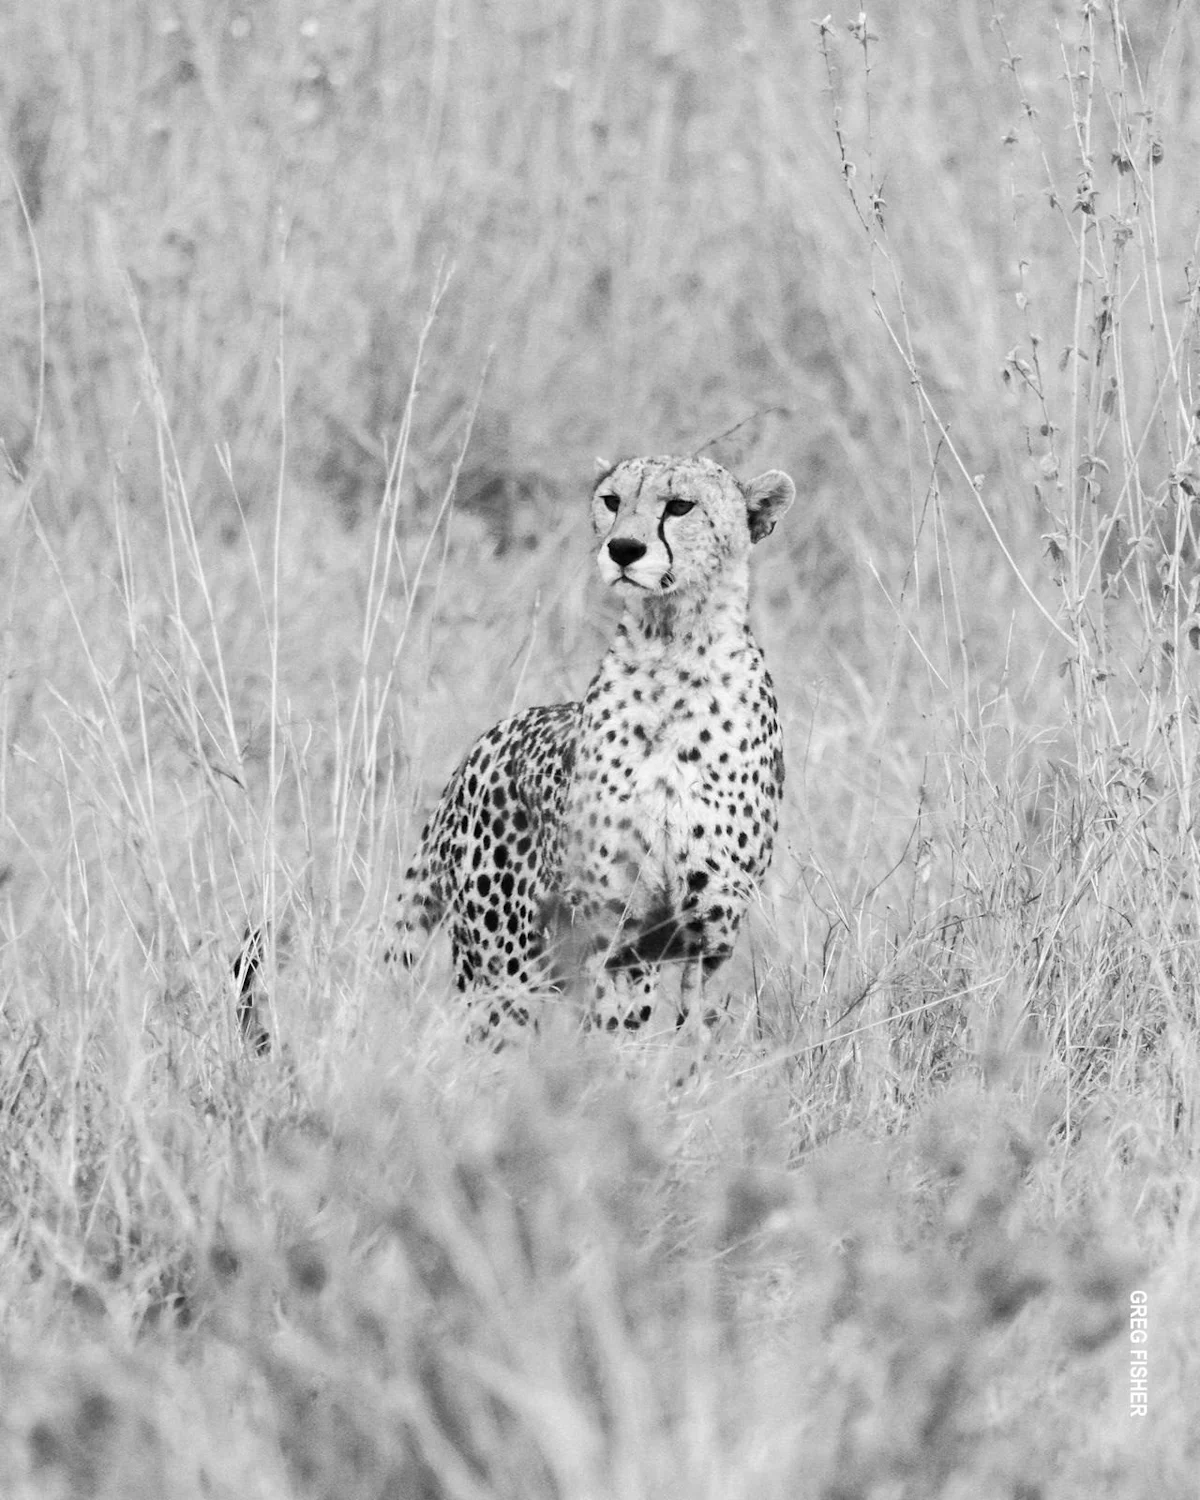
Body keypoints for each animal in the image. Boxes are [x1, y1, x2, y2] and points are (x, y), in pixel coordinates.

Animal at [387, 453, 795, 1037]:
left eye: (680, 506)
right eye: (612, 501)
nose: (623, 548)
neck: (672, 646)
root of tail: (481, 745)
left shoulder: (709, 928)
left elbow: (691, 1026)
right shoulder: (612, 923)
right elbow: (618, 1025)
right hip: (502, 966)